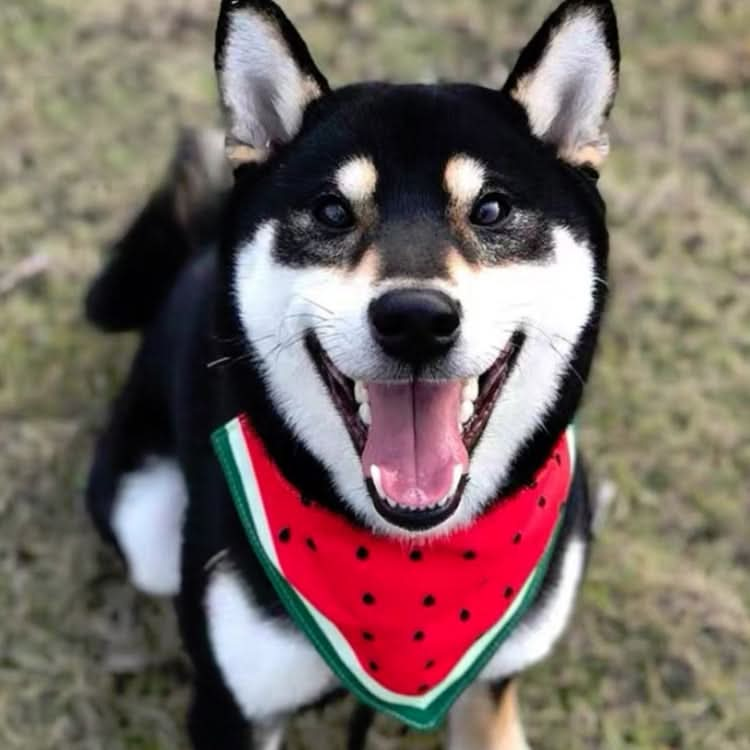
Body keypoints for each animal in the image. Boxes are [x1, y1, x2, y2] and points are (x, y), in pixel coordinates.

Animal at [85, 2, 620, 748]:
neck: (408, 560)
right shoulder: (234, 707)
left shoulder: (497, 677)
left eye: (491, 209)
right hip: (143, 525)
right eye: (332, 212)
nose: (416, 319)